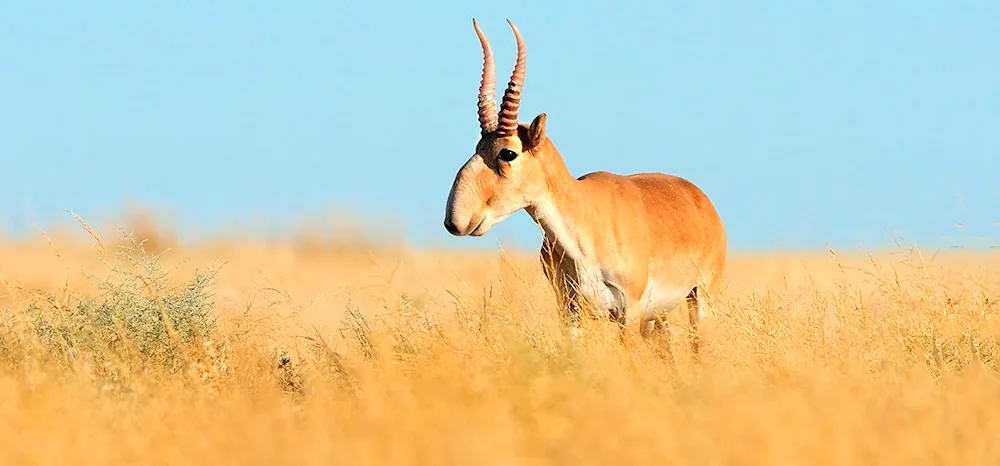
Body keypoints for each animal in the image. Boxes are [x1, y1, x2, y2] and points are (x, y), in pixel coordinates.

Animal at [446, 18, 728, 354]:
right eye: (478, 147)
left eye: (508, 152)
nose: (456, 221)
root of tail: (700, 199)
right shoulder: (570, 311)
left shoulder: (628, 313)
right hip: (659, 318)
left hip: (699, 300)